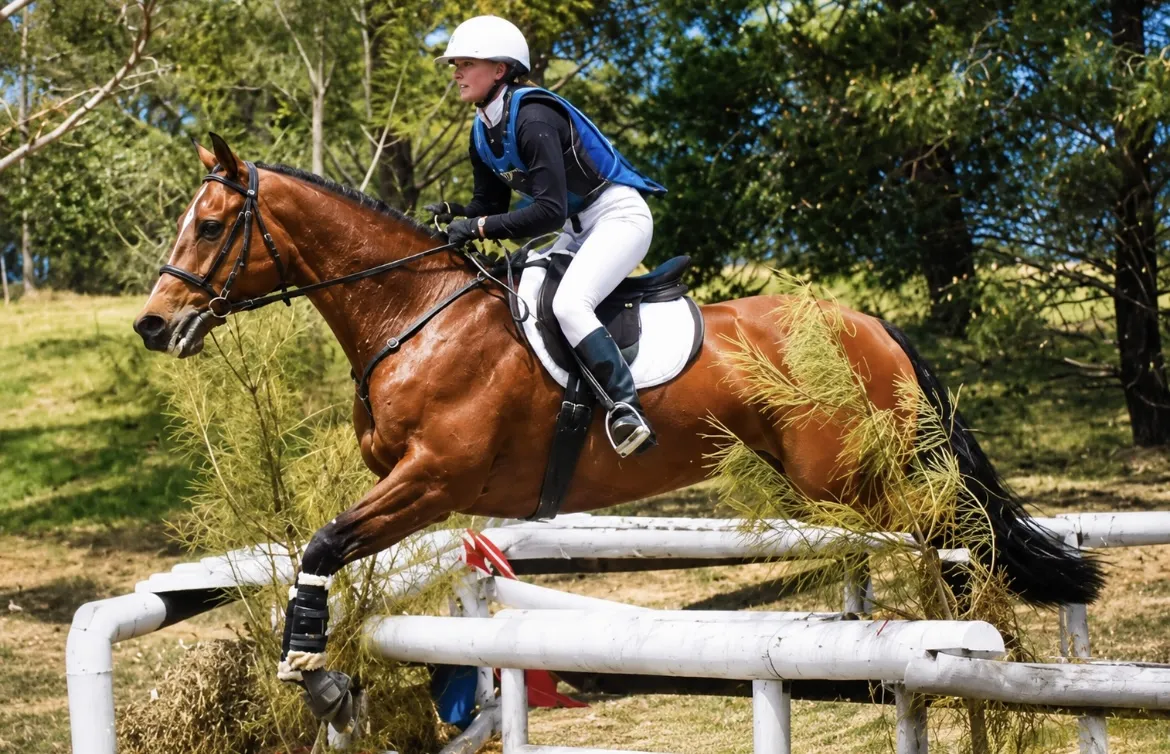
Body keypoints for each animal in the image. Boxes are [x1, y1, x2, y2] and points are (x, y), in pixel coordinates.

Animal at [134, 134, 1103, 728]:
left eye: (212, 226)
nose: (152, 324)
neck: (414, 315)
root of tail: (868, 323)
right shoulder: (414, 495)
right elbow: (331, 550)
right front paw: (323, 670)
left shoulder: (432, 481)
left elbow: (325, 542)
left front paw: (307, 667)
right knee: (952, 524)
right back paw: (975, 638)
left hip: (845, 475)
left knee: (953, 522)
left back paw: (984, 641)